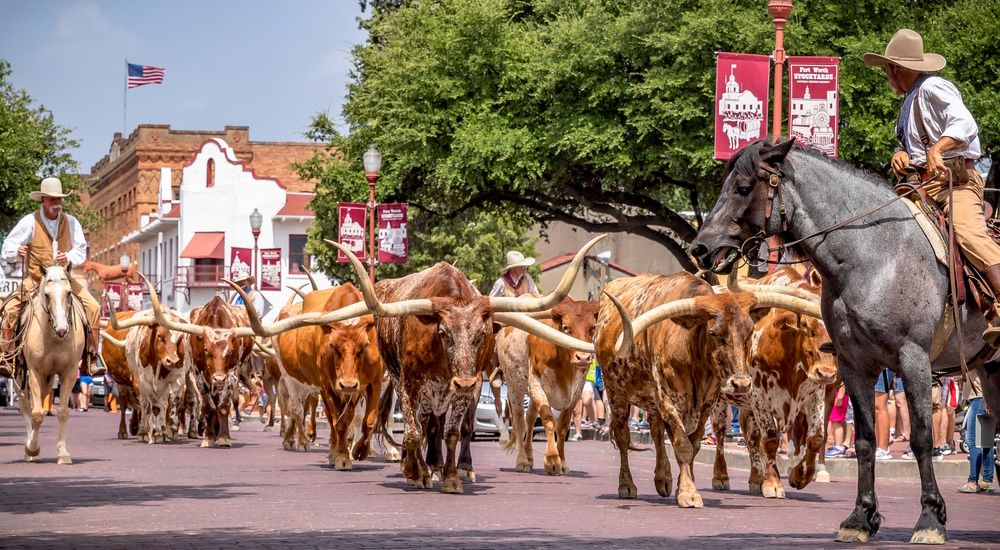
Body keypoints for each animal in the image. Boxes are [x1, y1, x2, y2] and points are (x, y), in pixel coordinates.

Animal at [16, 266, 86, 464]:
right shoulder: (34, 372)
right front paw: (32, 448)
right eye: (47, 295)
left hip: (48, 379)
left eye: (68, 292)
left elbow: (62, 412)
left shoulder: (69, 373)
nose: (62, 329)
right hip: (20, 375)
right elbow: (37, 413)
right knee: (26, 406)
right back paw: (30, 450)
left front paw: (63, 453)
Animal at [692, 139, 1000, 548]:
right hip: (991, 369)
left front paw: (930, 519)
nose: (699, 248)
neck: (874, 258)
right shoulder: (854, 366)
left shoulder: (913, 360)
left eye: (742, 188)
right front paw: (860, 518)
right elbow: (865, 440)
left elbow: (921, 437)